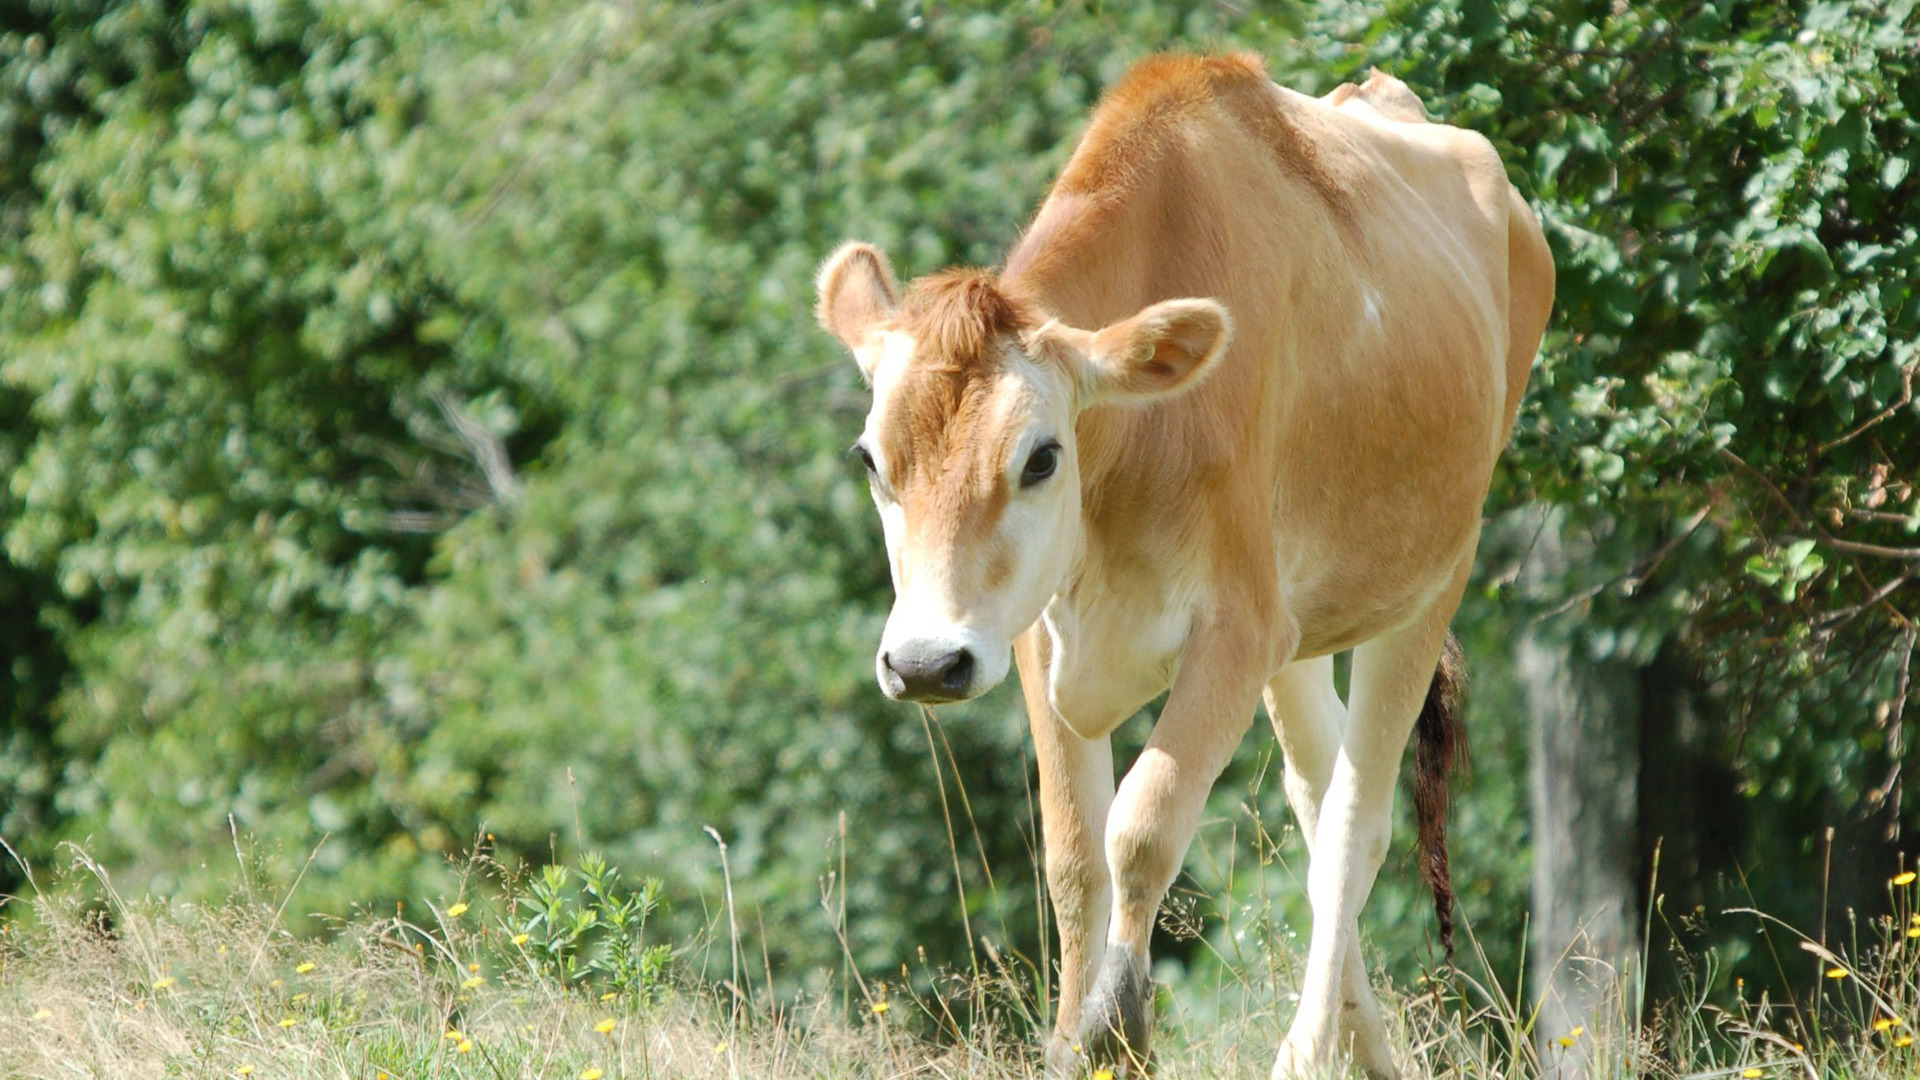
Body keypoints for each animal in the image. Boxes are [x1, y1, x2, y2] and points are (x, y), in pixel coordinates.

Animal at [815, 53, 1554, 1080]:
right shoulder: (1034, 633)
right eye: (870, 459)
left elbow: (1142, 823)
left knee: (1354, 825)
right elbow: (1073, 853)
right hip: (1301, 631)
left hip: (1432, 577)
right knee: (1317, 798)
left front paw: (1116, 1024)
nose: (924, 662)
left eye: (1041, 457)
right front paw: (1072, 1037)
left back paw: (1304, 1053)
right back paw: (1365, 1050)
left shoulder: (1236, 630)